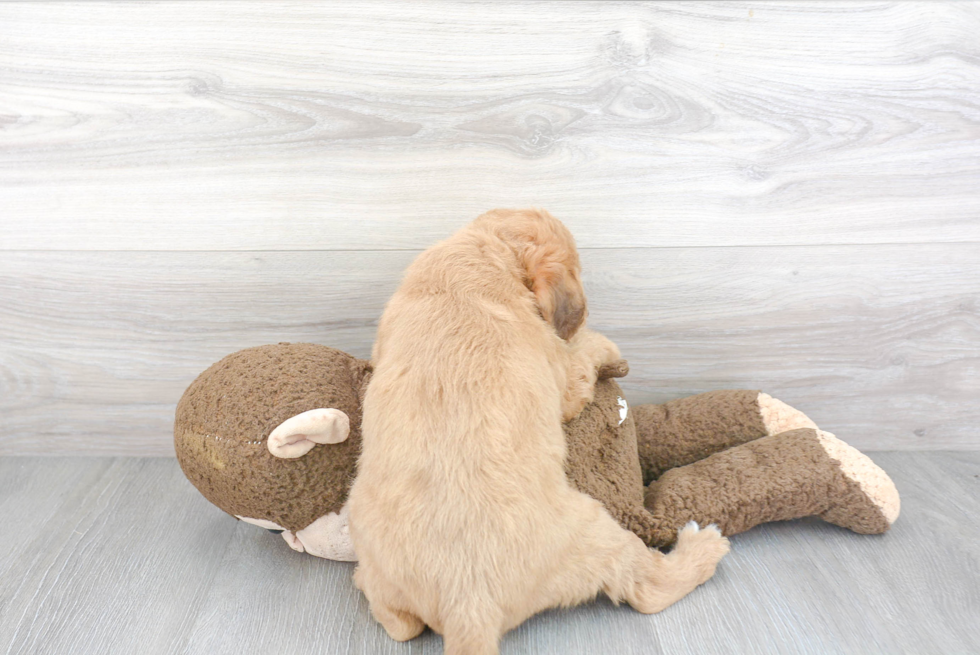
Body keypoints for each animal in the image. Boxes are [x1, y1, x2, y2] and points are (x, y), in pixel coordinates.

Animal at [346, 211, 728, 655]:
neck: (484, 256)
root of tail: (467, 605)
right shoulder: (566, 383)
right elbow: (584, 350)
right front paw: (604, 344)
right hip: (599, 533)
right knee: (648, 589)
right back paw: (705, 546)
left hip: (377, 568)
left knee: (400, 625)